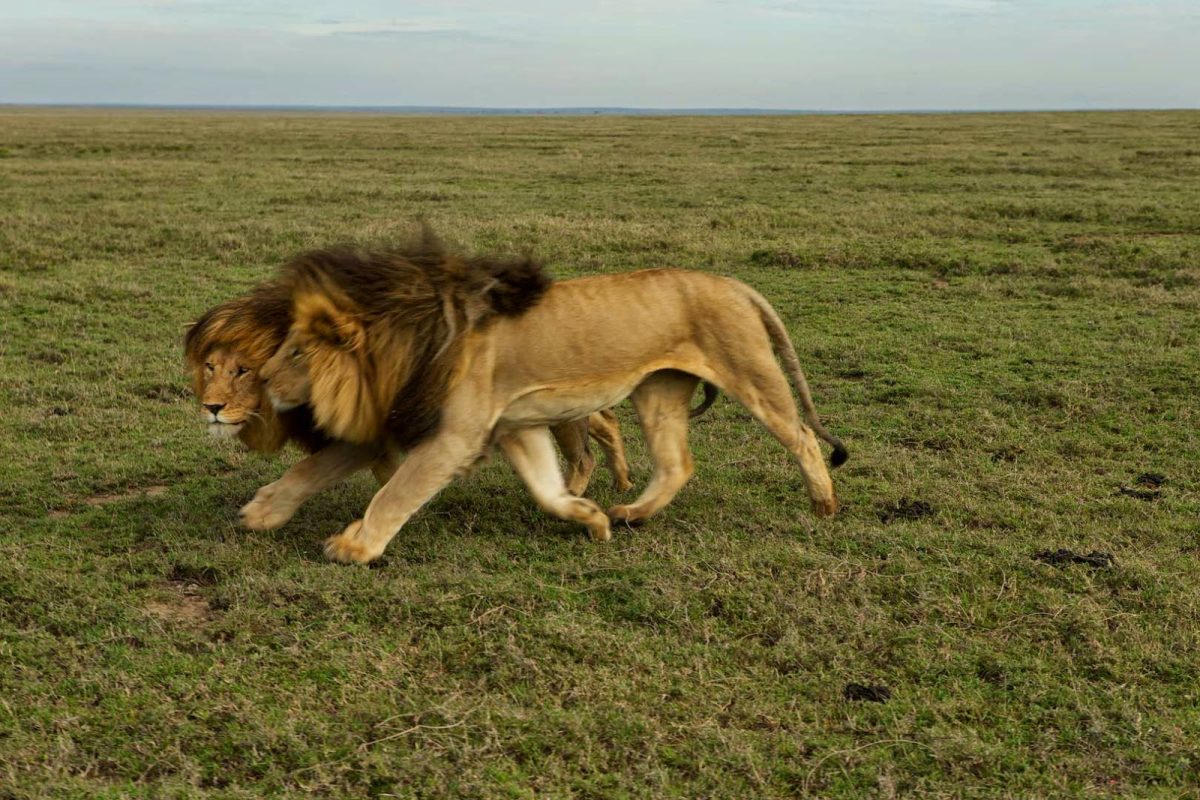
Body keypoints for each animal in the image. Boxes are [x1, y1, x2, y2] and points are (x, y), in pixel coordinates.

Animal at [185, 279, 635, 532]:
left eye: (243, 371)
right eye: (210, 366)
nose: (212, 407)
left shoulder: (368, 433)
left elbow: (310, 471)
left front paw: (263, 513)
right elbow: (380, 473)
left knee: (587, 449)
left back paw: (583, 494)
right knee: (606, 422)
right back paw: (620, 483)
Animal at [258, 235, 846, 564]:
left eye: (297, 353)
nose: (261, 377)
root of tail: (732, 283)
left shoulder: (454, 437)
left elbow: (396, 493)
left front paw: (354, 548)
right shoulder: (516, 426)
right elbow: (546, 488)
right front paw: (591, 518)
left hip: (749, 368)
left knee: (801, 435)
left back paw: (824, 505)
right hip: (658, 388)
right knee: (677, 462)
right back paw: (630, 514)